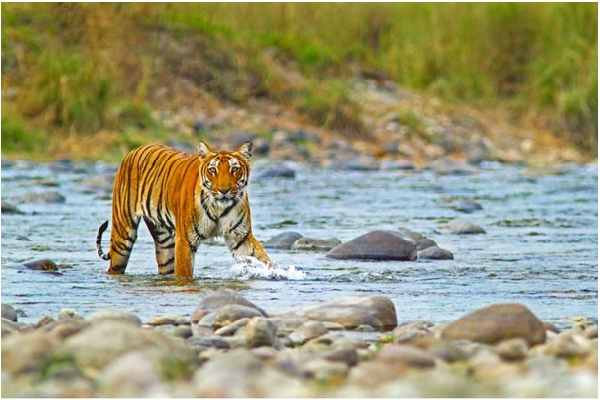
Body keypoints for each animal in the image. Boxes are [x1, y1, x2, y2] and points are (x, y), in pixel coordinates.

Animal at [96, 141, 272, 278]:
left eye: (234, 169)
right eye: (213, 170)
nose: (224, 190)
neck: (219, 207)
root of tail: (134, 150)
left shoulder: (241, 237)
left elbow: (261, 258)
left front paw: (274, 273)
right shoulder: (185, 241)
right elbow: (184, 273)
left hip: (164, 242)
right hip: (123, 235)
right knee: (115, 265)